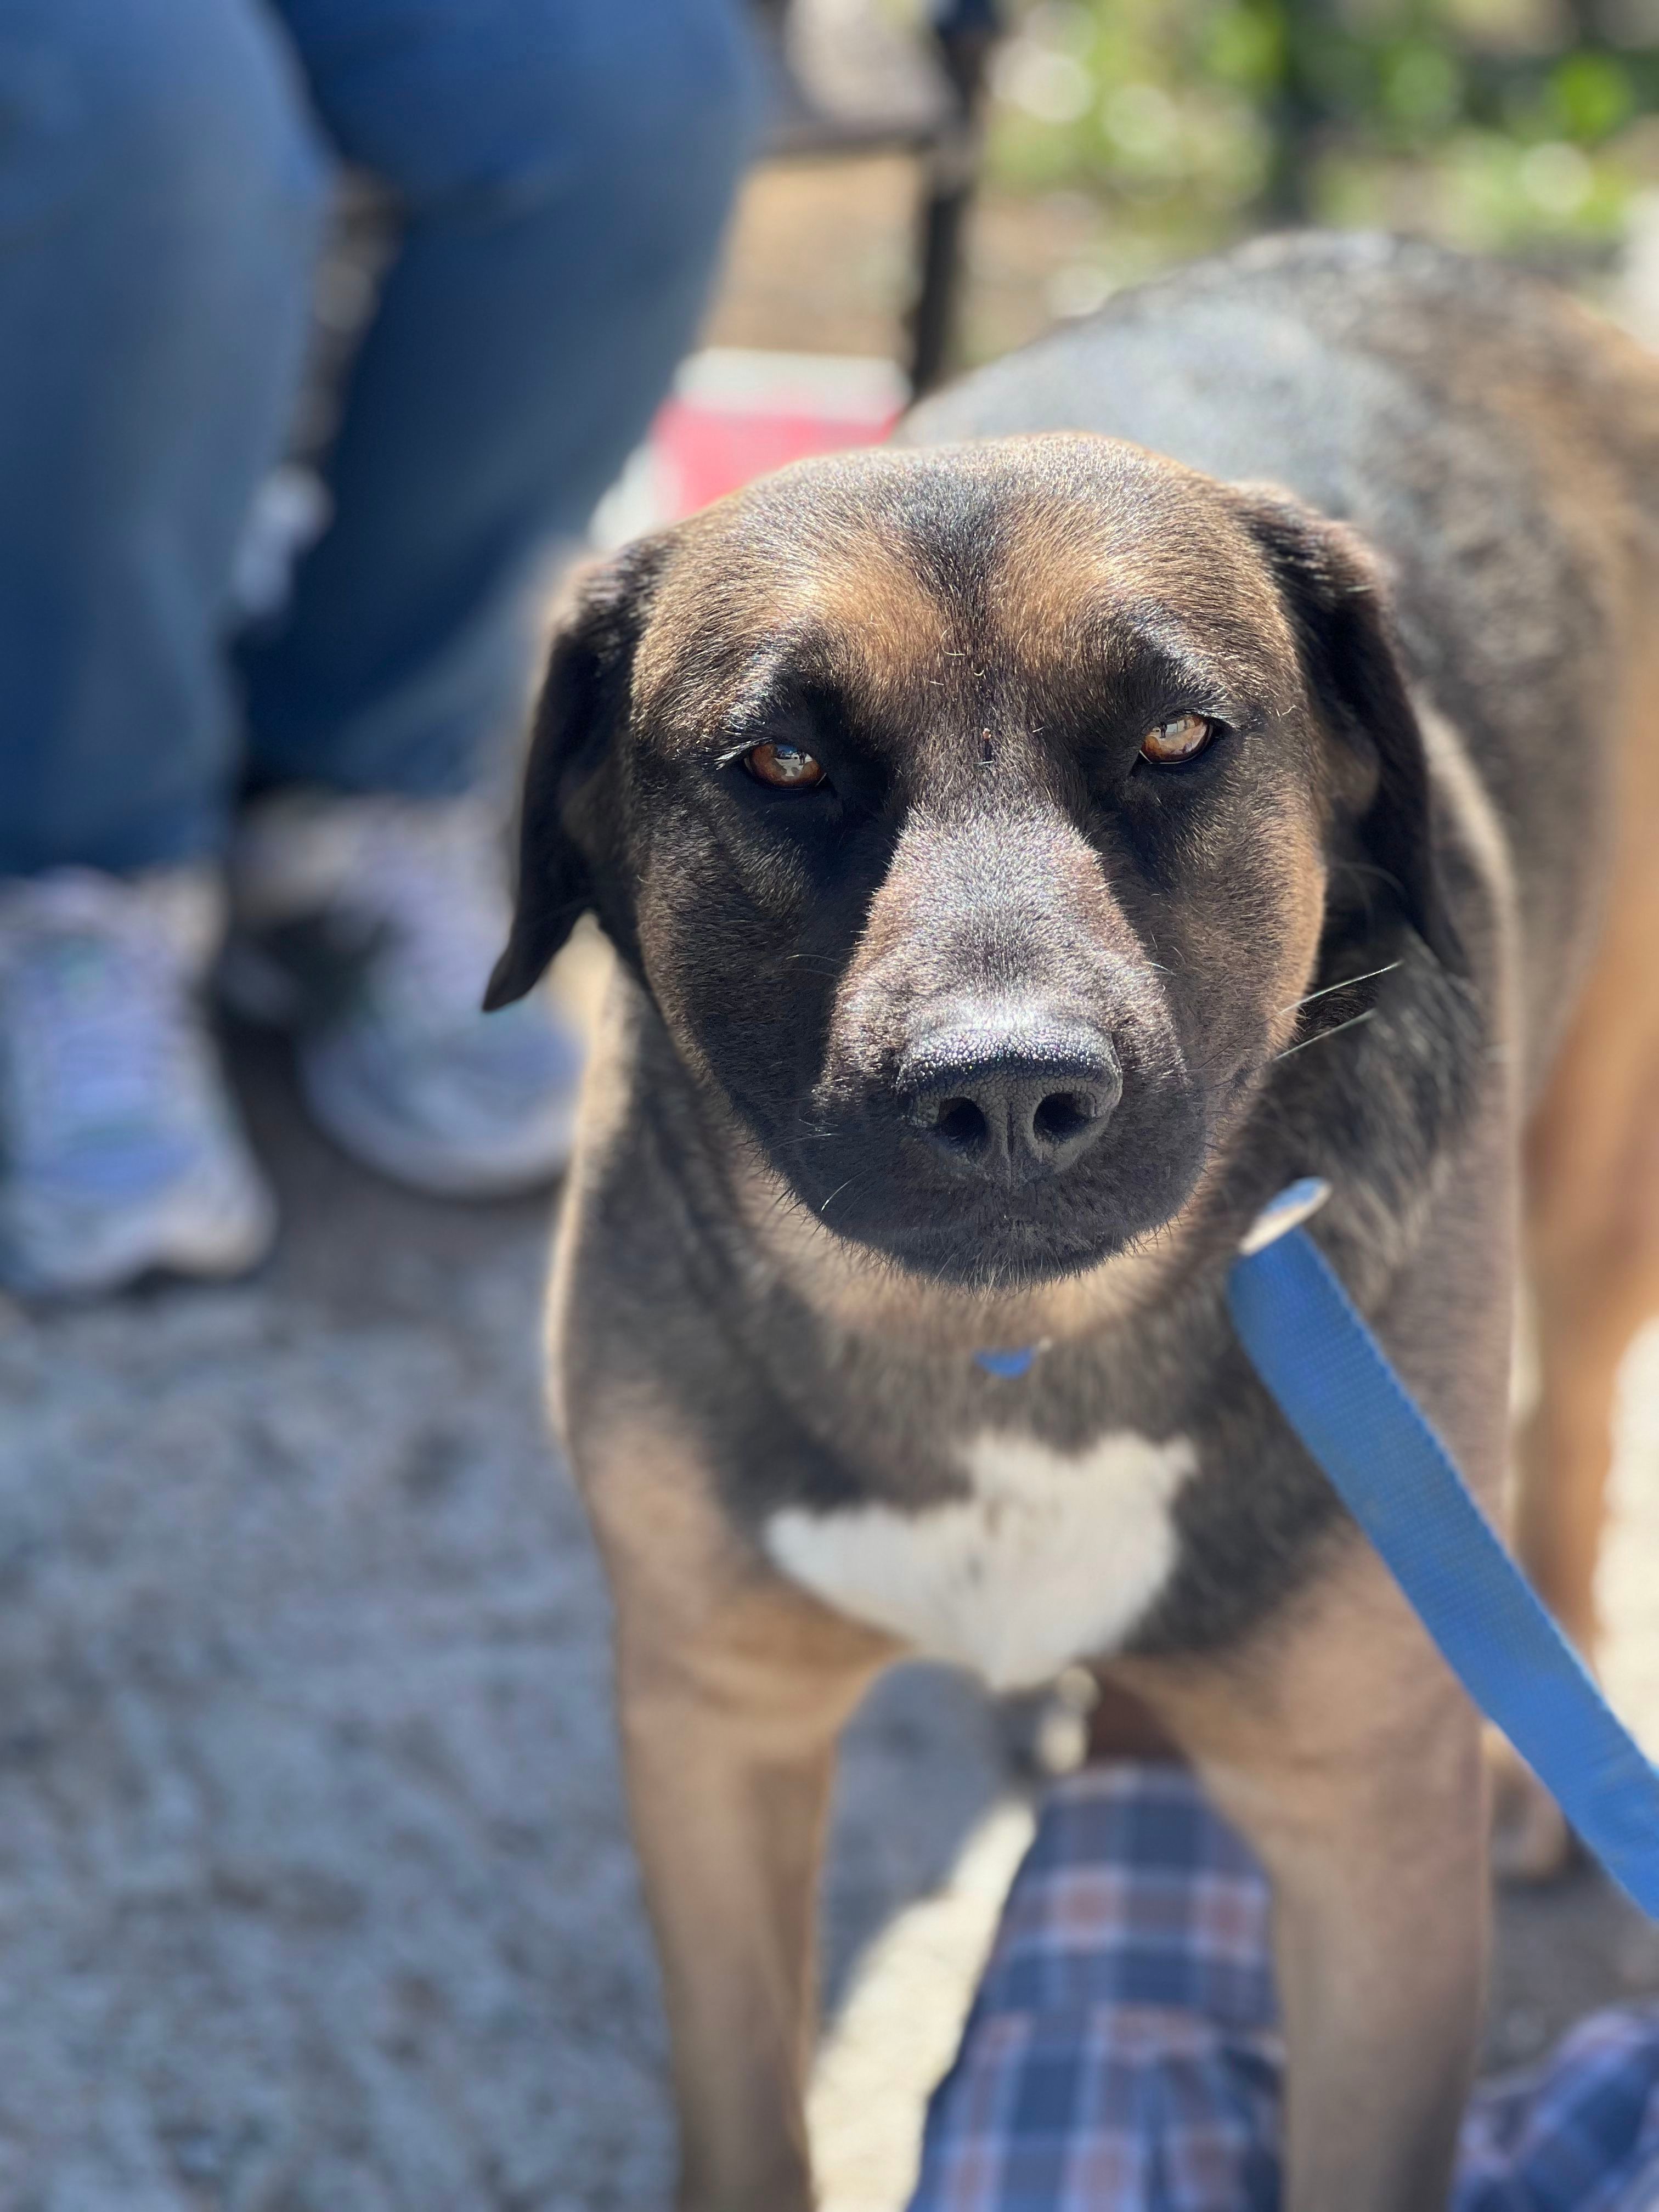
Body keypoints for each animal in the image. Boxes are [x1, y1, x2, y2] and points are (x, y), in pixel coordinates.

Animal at [484, 233, 1659, 2203]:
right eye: (779, 763)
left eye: (1180, 738)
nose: (1010, 1093)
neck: (1005, 1362)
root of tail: (1462, 265)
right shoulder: (714, 1726)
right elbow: (743, 2115)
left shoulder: (1369, 1855)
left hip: (1595, 1161)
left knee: (1568, 1434)